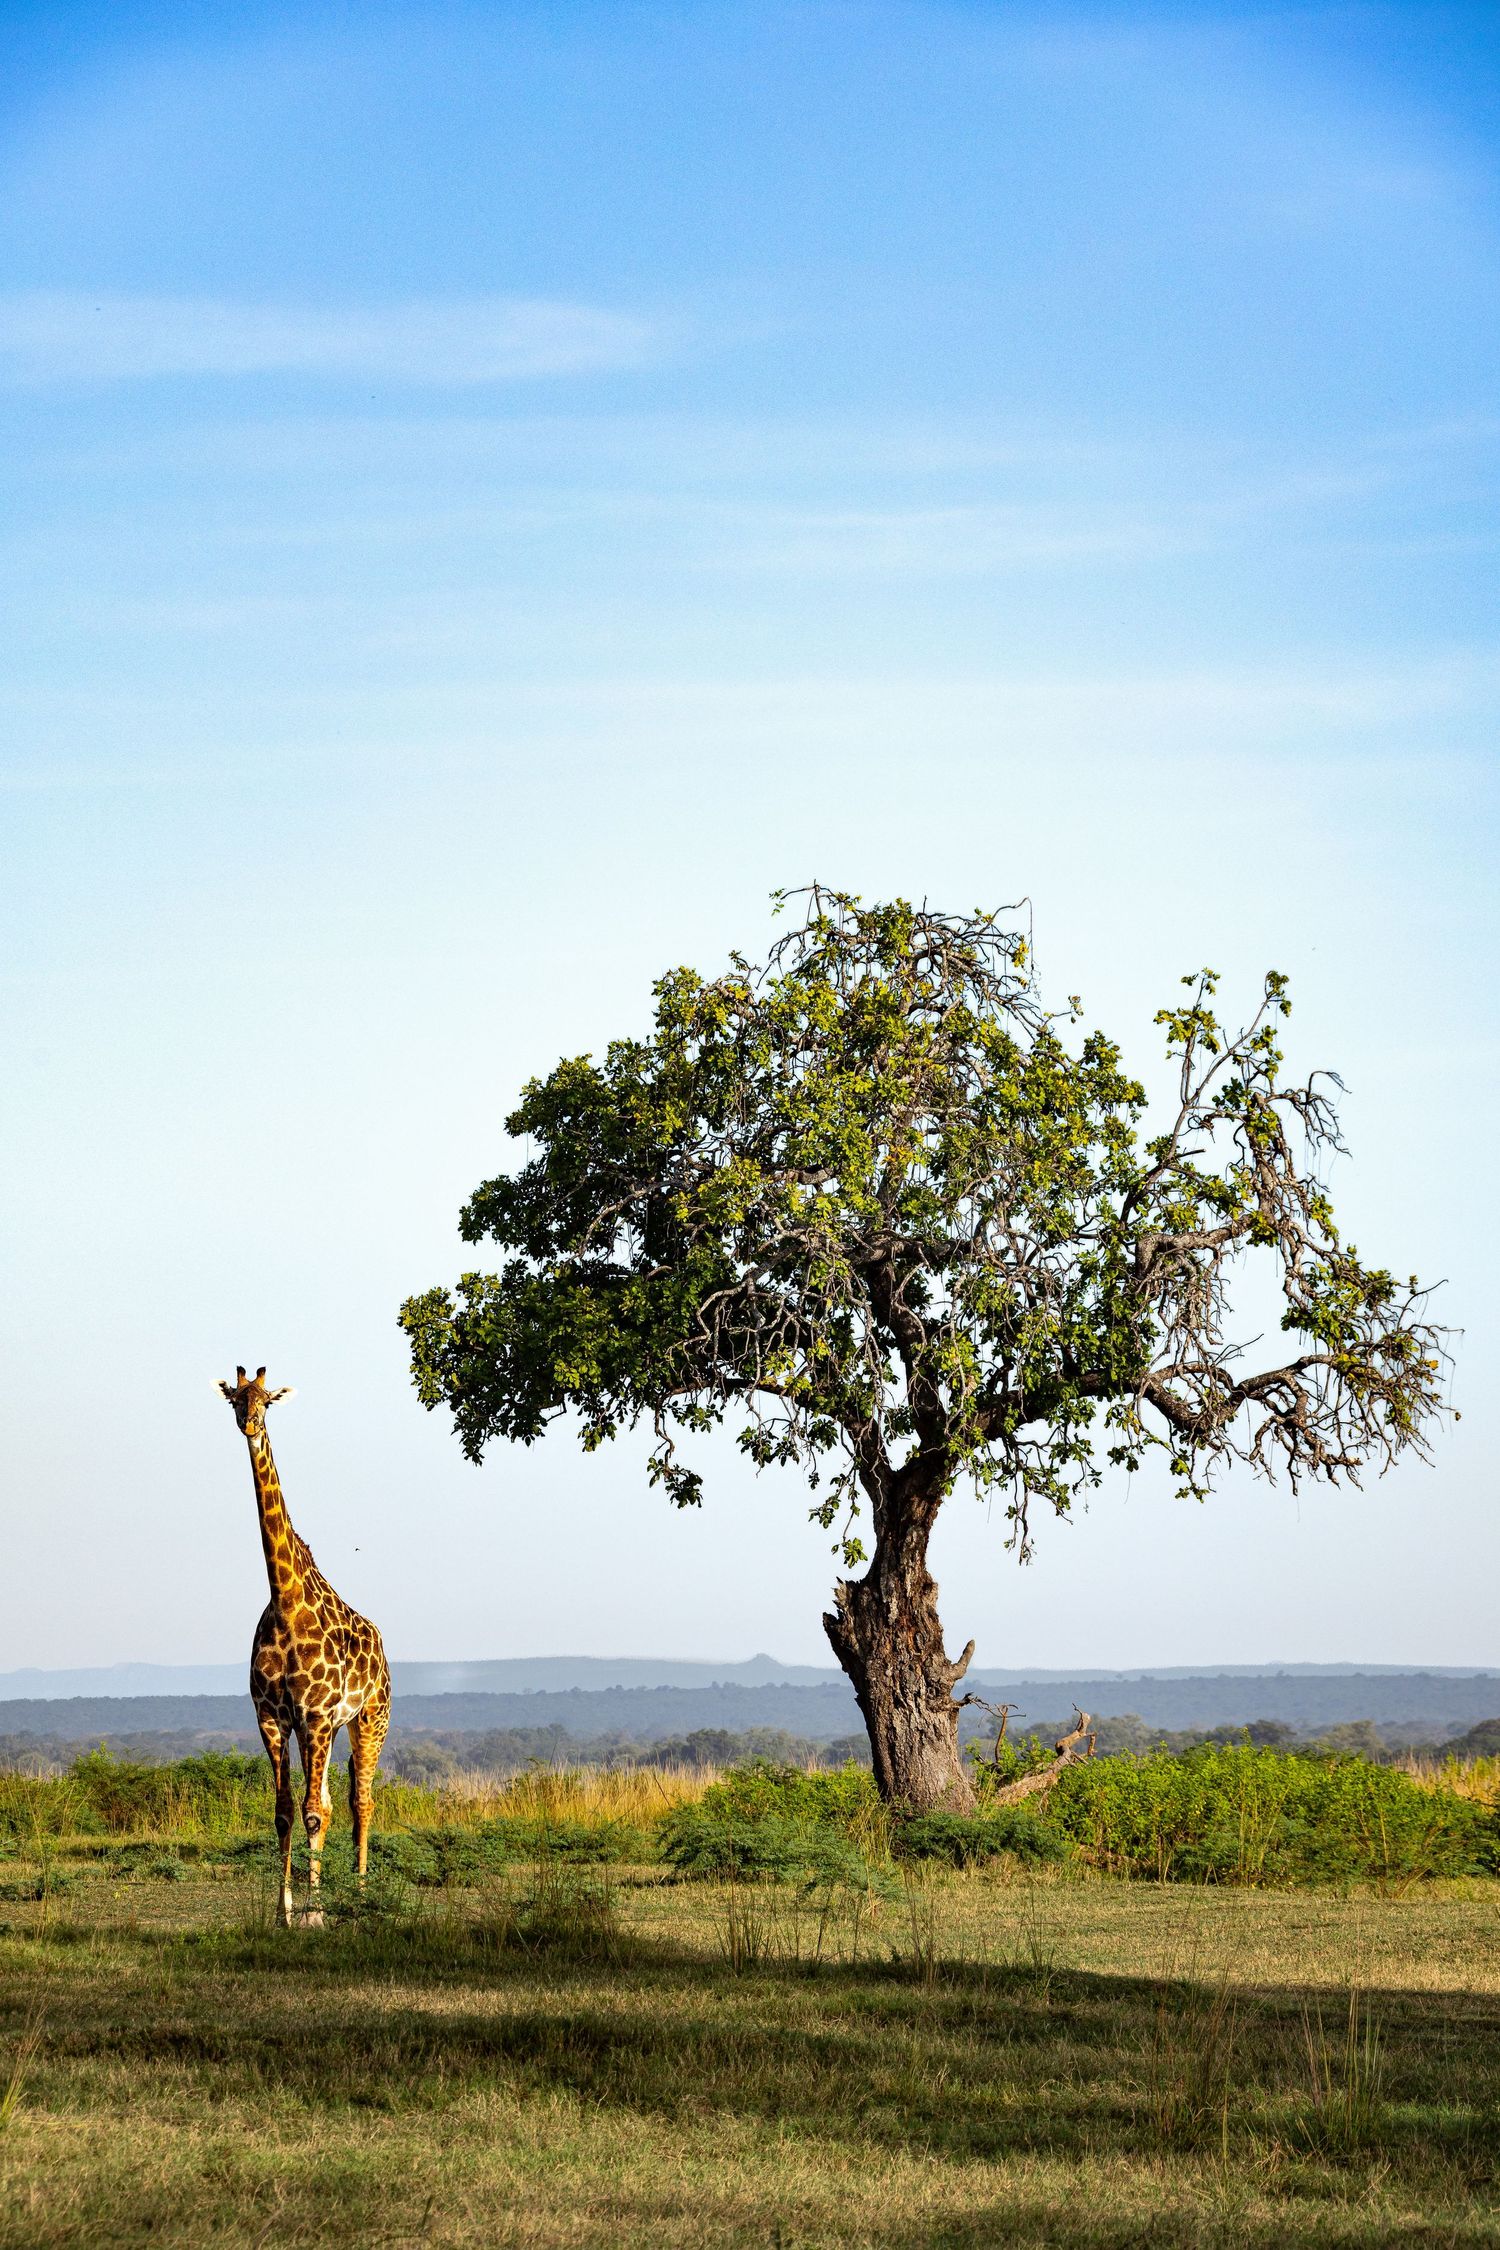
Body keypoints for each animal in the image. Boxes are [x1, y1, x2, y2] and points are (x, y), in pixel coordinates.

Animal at [217, 1366, 391, 1926]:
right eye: (236, 1397)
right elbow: (284, 1813)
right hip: (333, 1727)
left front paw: (313, 1914)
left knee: (362, 1800)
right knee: (338, 1802)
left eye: (268, 1400)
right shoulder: (273, 1716)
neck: (285, 1598)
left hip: (370, 1718)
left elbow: (313, 1814)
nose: (249, 1424)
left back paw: (360, 1892)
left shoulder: (313, 1715)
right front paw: (284, 1911)